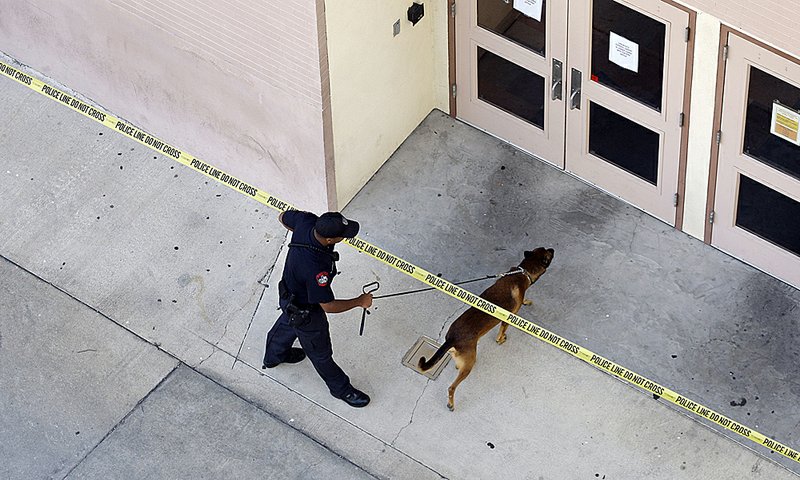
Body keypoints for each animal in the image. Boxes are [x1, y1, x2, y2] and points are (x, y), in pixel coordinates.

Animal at [418, 248, 556, 408]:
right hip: (468, 365)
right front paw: (500, 339)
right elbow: (502, 331)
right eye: (548, 255)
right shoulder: (508, 319)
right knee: (452, 387)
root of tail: (451, 339)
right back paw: (451, 403)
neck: (523, 272)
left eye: (545, 249)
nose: (553, 249)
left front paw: (526, 301)